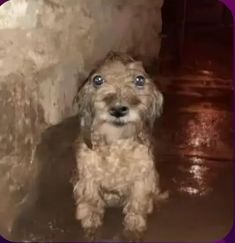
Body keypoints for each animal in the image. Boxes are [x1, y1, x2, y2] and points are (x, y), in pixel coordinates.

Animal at [73, 52, 165, 240]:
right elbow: (90, 199)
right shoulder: (87, 176)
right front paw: (90, 223)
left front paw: (134, 228)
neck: (116, 142)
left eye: (139, 80)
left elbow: (137, 203)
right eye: (98, 80)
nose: (118, 110)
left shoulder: (142, 177)